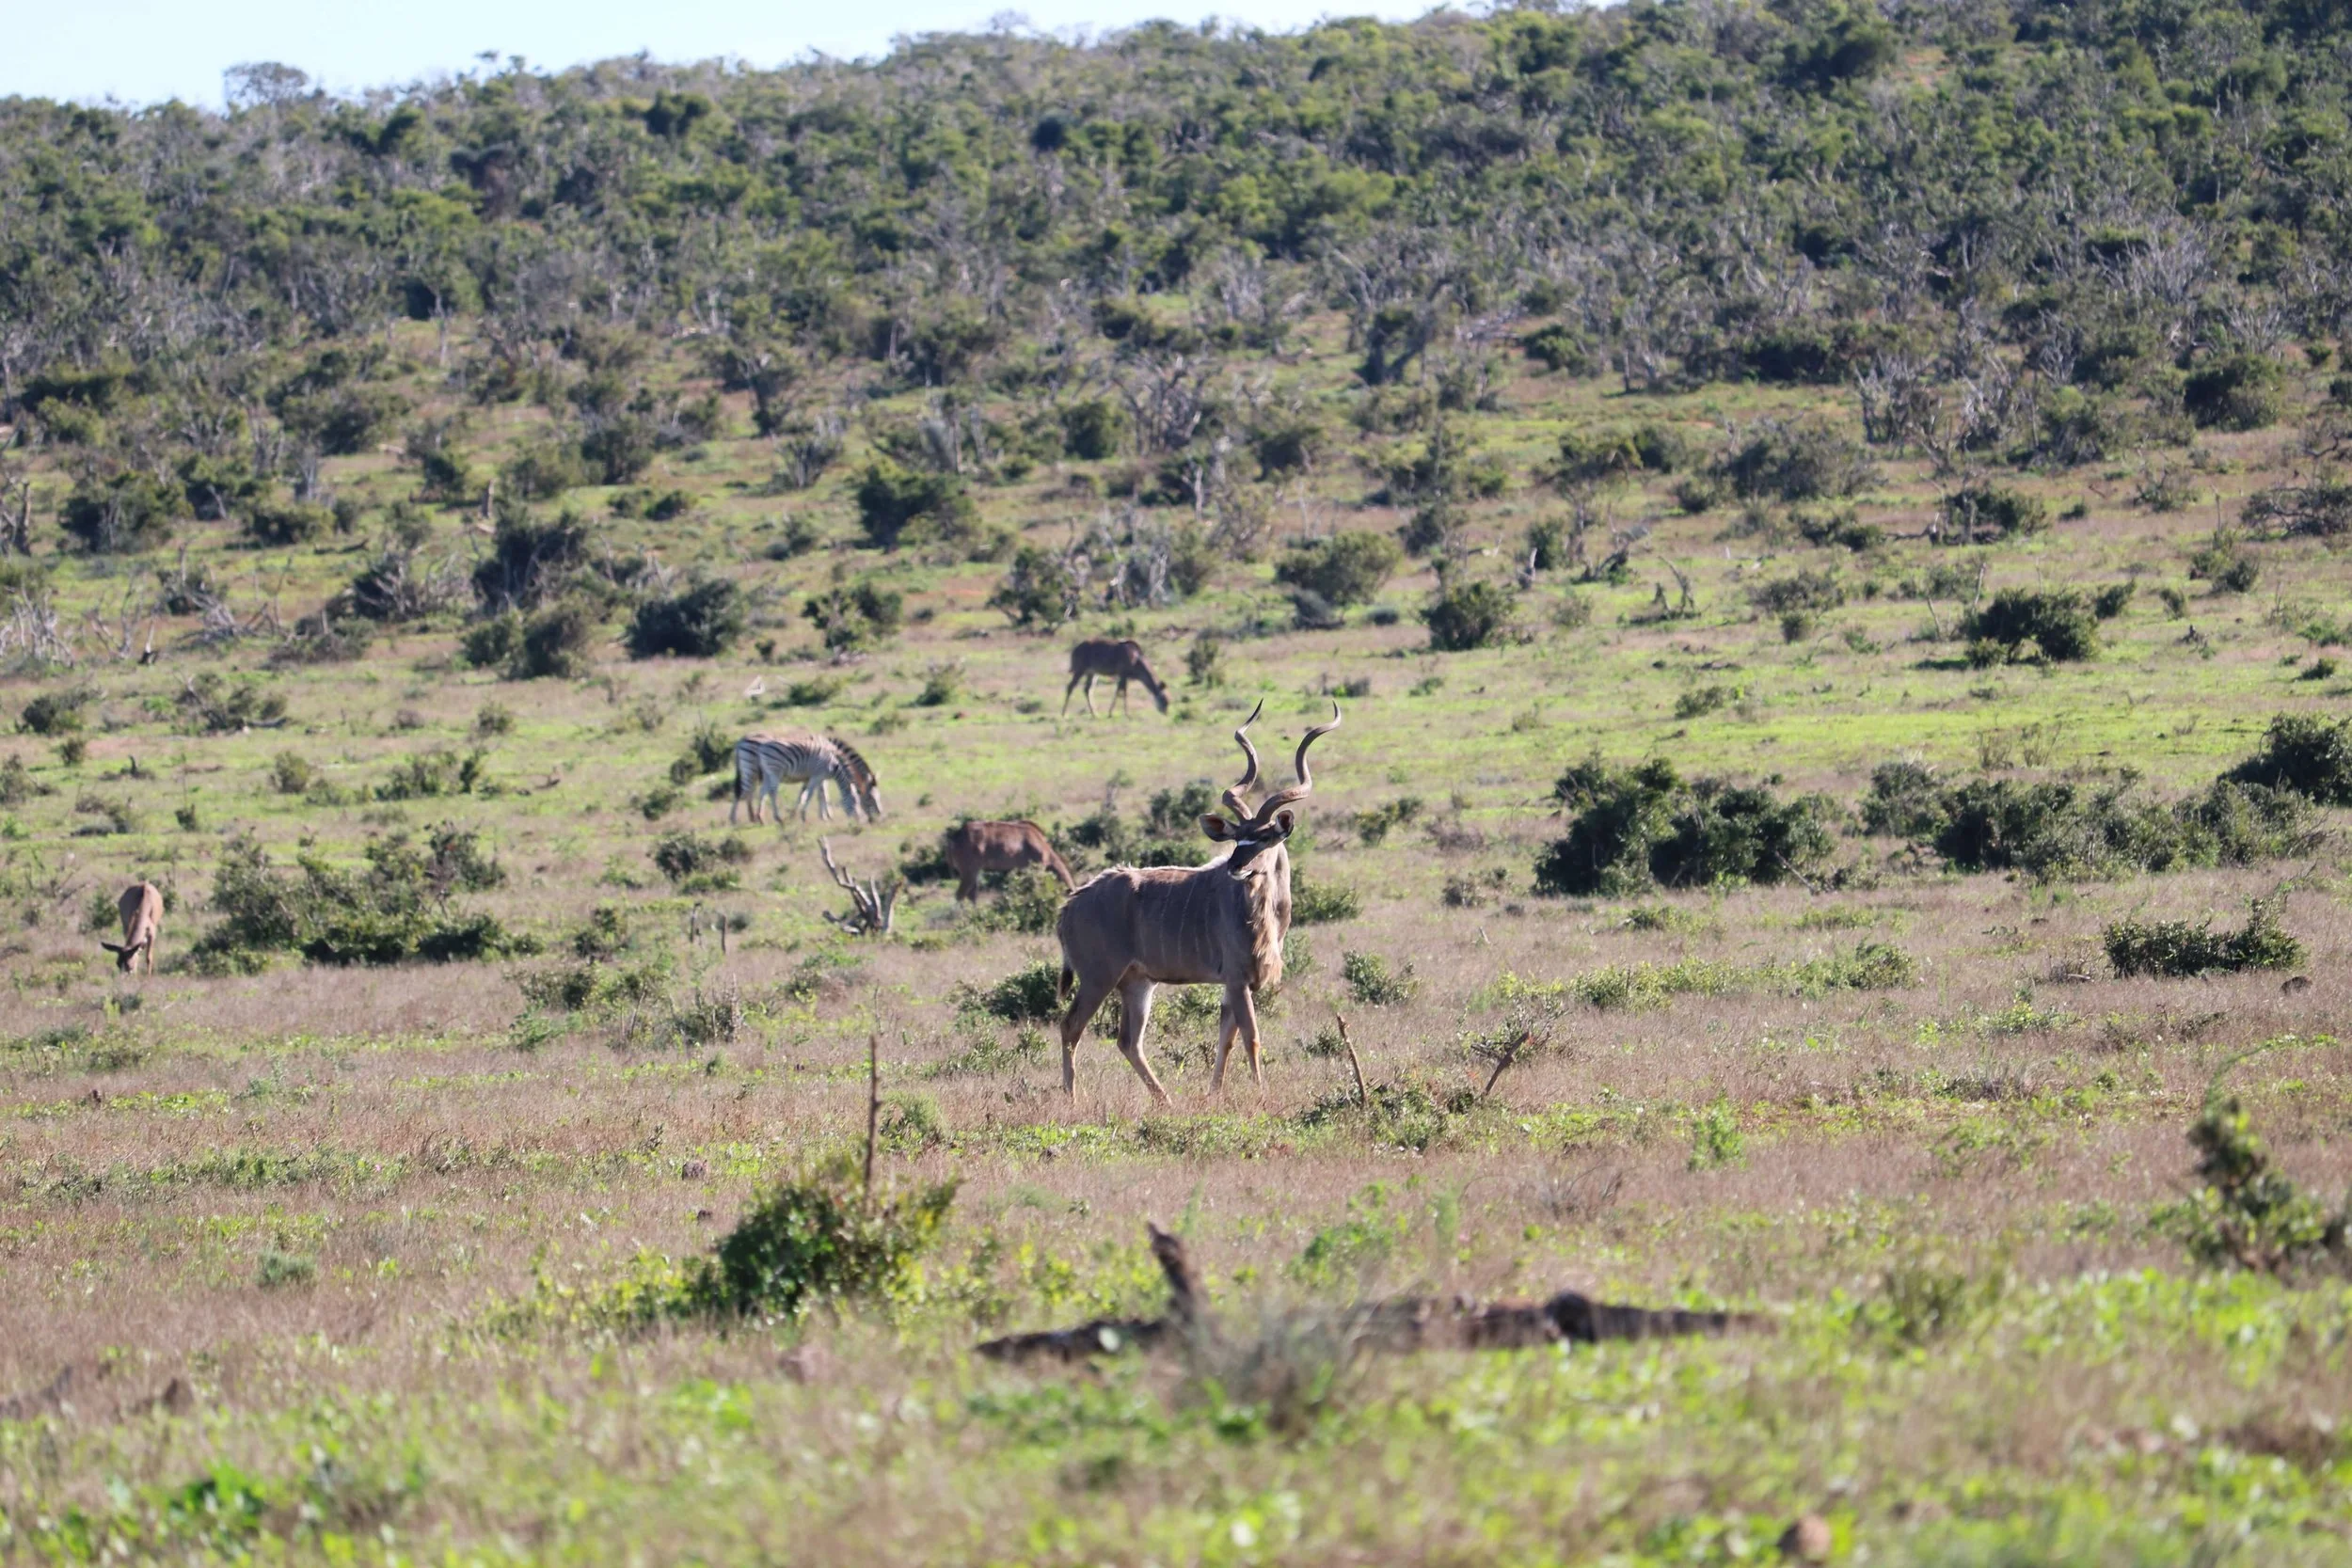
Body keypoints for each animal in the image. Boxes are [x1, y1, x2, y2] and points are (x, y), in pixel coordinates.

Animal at [731, 732, 886, 824]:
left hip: (761, 772)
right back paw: (742, 819)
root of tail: (740, 741)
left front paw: (816, 815)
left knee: (755, 792)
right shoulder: (817, 775)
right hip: (757, 770)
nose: (878, 816)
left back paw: (757, 817)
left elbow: (810, 794)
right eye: (871, 798)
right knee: (750, 792)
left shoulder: (812, 776)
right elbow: (819, 794)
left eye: (879, 797)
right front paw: (824, 815)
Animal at [945, 820, 1077, 902]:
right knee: (960, 895)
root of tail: (955, 837)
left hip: (973, 874)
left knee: (971, 895)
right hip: (969, 872)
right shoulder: (1037, 869)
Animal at [1054, 700, 1339, 1102]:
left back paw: (1166, 1101)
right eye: (1238, 837)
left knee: (1128, 1040)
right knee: (1071, 1026)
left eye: (1265, 838)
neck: (1263, 916)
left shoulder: (1237, 984)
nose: (1236, 866)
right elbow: (1251, 1036)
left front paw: (1214, 1094)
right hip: (1099, 976)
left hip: (1137, 982)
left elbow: (1227, 1038)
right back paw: (1073, 1097)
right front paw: (1260, 1094)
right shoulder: (1237, 979)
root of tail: (1070, 906)